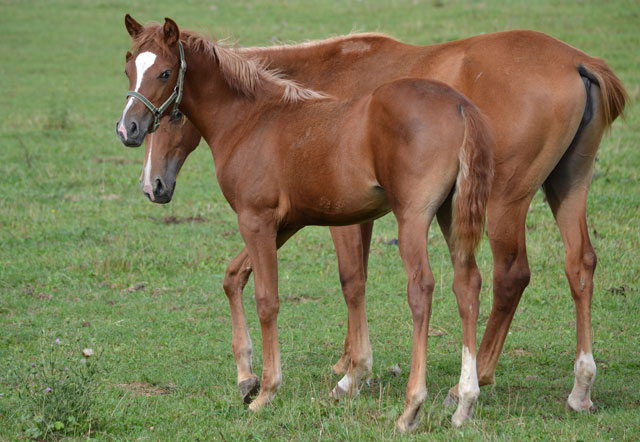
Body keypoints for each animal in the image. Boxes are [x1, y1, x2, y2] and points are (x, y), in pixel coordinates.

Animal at [130, 14, 624, 422]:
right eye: (128, 68)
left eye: (168, 86)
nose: (152, 184)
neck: (275, 113)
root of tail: (579, 62)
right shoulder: (292, 218)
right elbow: (239, 276)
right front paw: (262, 375)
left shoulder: (313, 219)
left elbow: (342, 283)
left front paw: (343, 375)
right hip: (562, 186)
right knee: (570, 266)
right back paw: (575, 389)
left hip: (495, 200)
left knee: (498, 277)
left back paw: (456, 389)